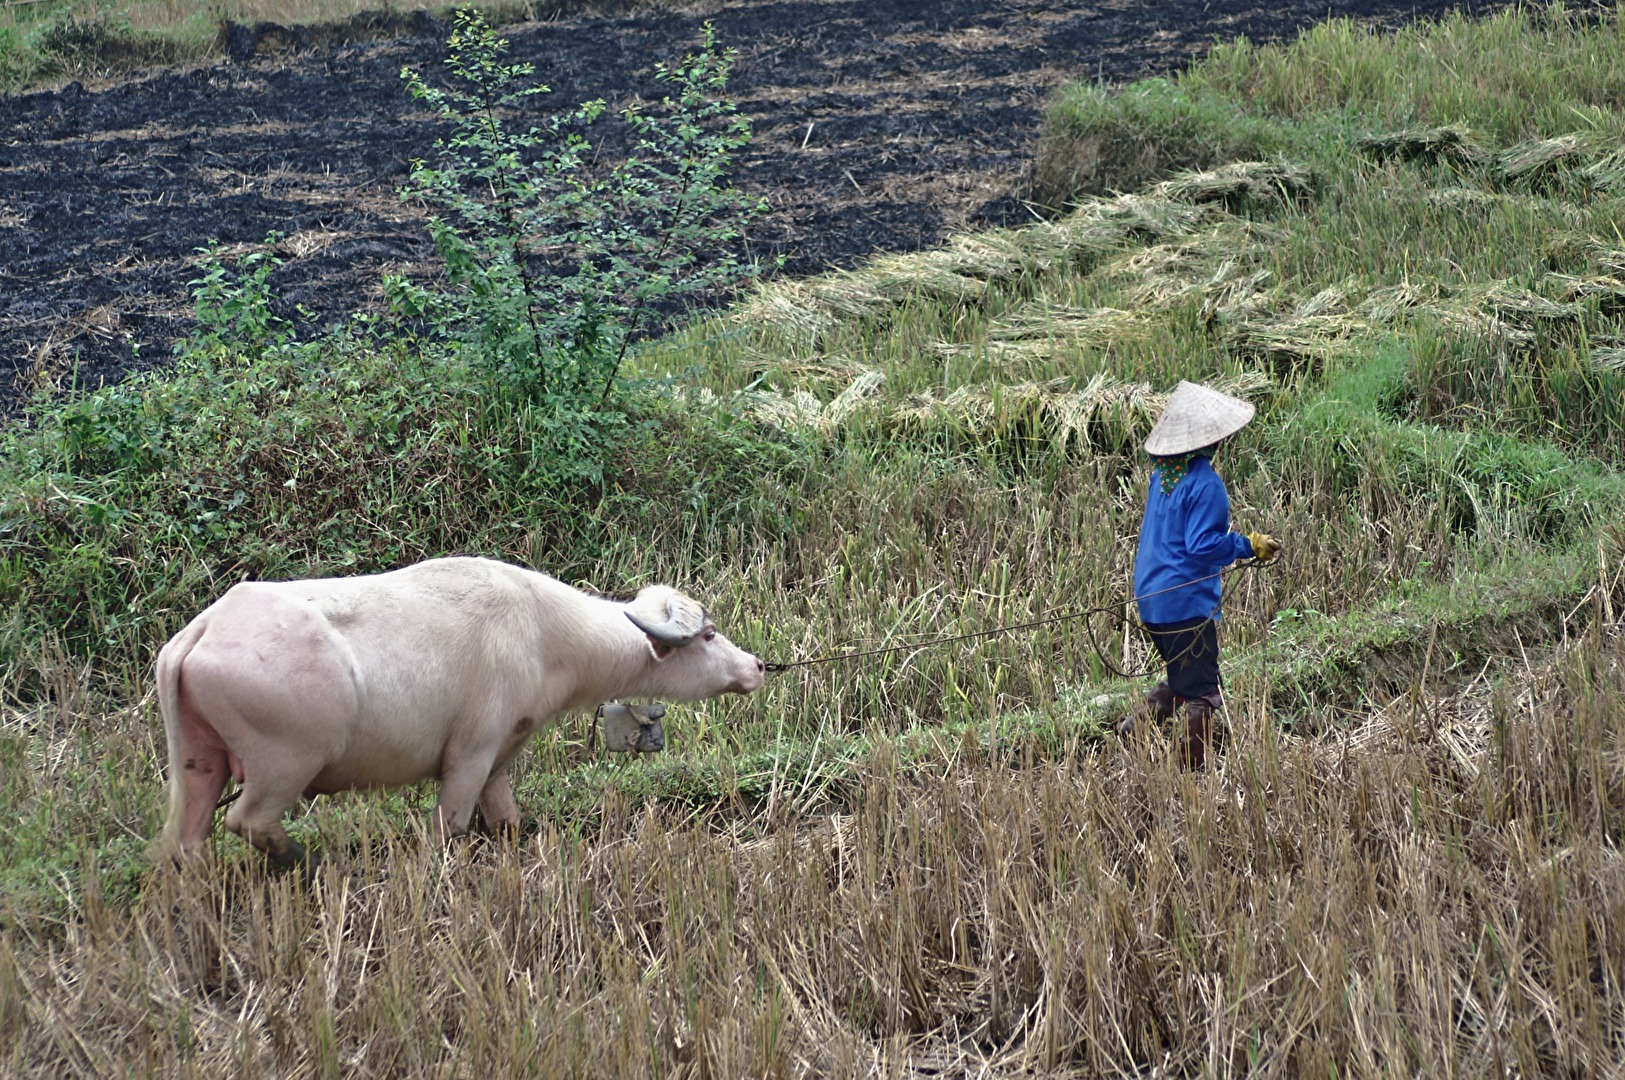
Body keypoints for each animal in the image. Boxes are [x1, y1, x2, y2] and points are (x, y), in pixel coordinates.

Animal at [155, 555, 763, 870]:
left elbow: (508, 822)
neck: (542, 632)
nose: (756, 665)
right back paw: (313, 864)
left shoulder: (499, 758)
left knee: (187, 839)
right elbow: (450, 826)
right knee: (248, 821)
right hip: (284, 764)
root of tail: (201, 631)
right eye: (709, 634)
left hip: (201, 763)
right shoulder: (470, 754)